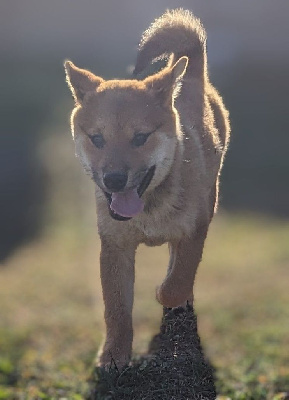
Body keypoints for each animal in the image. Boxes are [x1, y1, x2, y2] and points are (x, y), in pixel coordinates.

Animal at [63, 7, 230, 368]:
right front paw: (113, 355)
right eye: (97, 138)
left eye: (140, 138)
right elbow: (116, 310)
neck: (149, 211)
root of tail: (192, 74)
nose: (113, 179)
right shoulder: (115, 247)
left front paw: (167, 296)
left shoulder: (194, 231)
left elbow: (176, 282)